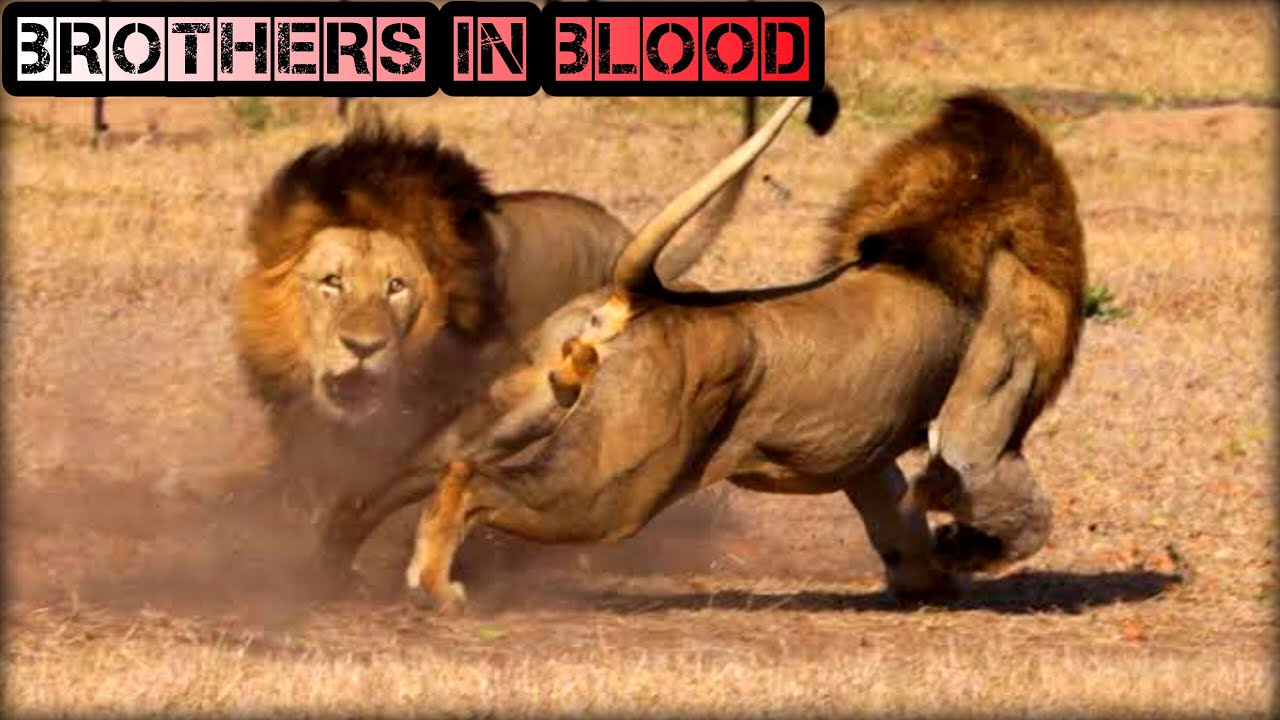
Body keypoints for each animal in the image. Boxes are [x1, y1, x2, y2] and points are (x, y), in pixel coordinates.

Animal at [374, 89, 1086, 614]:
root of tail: (641, 296)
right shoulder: (994, 386)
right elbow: (1013, 496)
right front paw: (967, 551)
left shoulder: (861, 449)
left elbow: (895, 517)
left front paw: (927, 579)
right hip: (616, 487)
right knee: (472, 478)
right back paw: (434, 586)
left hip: (522, 404)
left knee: (413, 468)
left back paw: (349, 563)